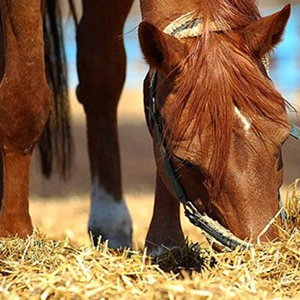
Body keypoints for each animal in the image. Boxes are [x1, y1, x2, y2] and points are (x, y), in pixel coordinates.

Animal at [0, 0, 292, 253]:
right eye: (185, 161)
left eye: (282, 140)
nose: (262, 249)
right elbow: (26, 100)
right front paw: (16, 234)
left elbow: (109, 76)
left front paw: (164, 243)